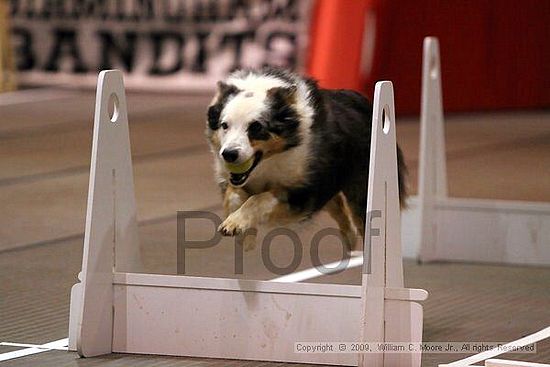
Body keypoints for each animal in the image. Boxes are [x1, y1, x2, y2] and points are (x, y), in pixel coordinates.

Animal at [205, 68, 408, 253]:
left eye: (256, 127)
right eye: (224, 125)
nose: (229, 154)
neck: (268, 162)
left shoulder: (304, 190)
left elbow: (259, 198)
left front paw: (236, 223)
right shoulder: (232, 178)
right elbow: (233, 195)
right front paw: (243, 234)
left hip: (359, 187)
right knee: (337, 204)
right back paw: (350, 239)